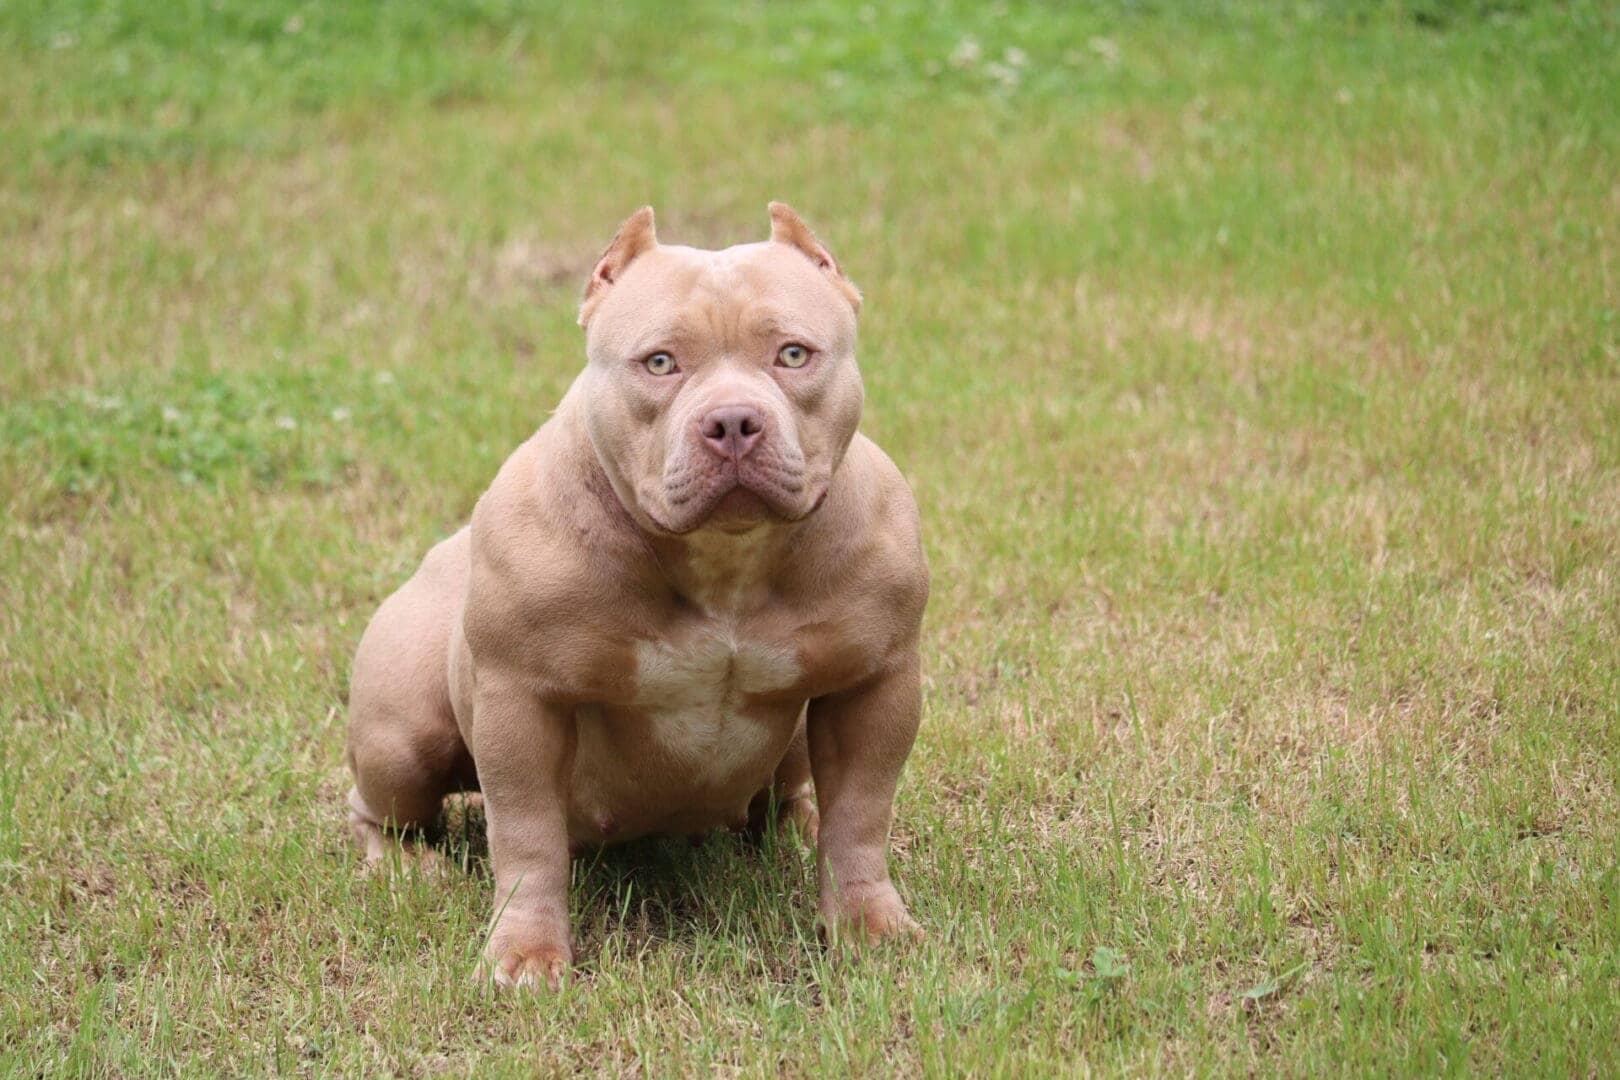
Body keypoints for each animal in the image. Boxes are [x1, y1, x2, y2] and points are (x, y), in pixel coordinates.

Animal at [348, 202, 933, 990]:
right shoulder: (519, 701)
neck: (725, 559)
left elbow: (861, 817)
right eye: (660, 363)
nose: (733, 422)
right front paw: (524, 952)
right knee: (379, 809)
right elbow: (527, 840)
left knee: (795, 794)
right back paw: (405, 866)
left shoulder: (876, 682)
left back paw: (793, 828)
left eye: (793, 354)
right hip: (401, 736)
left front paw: (869, 925)